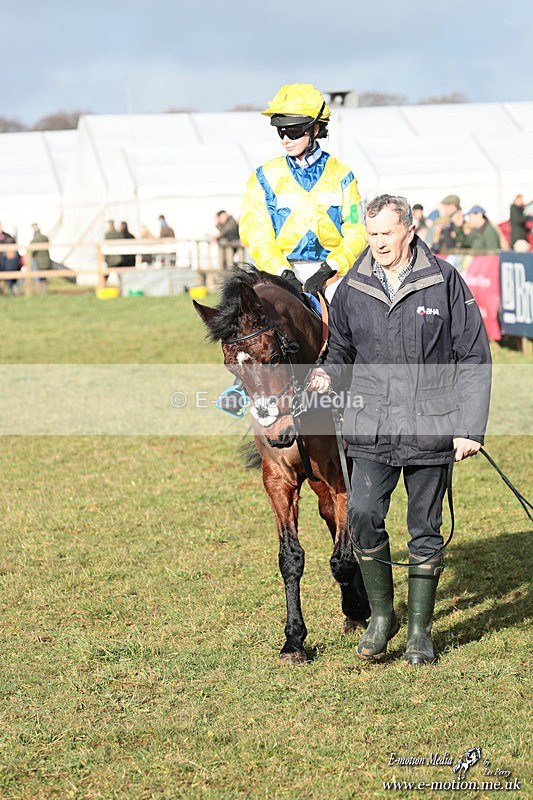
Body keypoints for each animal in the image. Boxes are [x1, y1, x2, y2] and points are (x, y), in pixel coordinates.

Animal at [193, 265, 369, 663]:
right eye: (232, 368)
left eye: (274, 356)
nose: (278, 433)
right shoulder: (278, 480)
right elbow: (290, 558)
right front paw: (294, 641)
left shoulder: (342, 478)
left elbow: (342, 557)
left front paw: (356, 609)